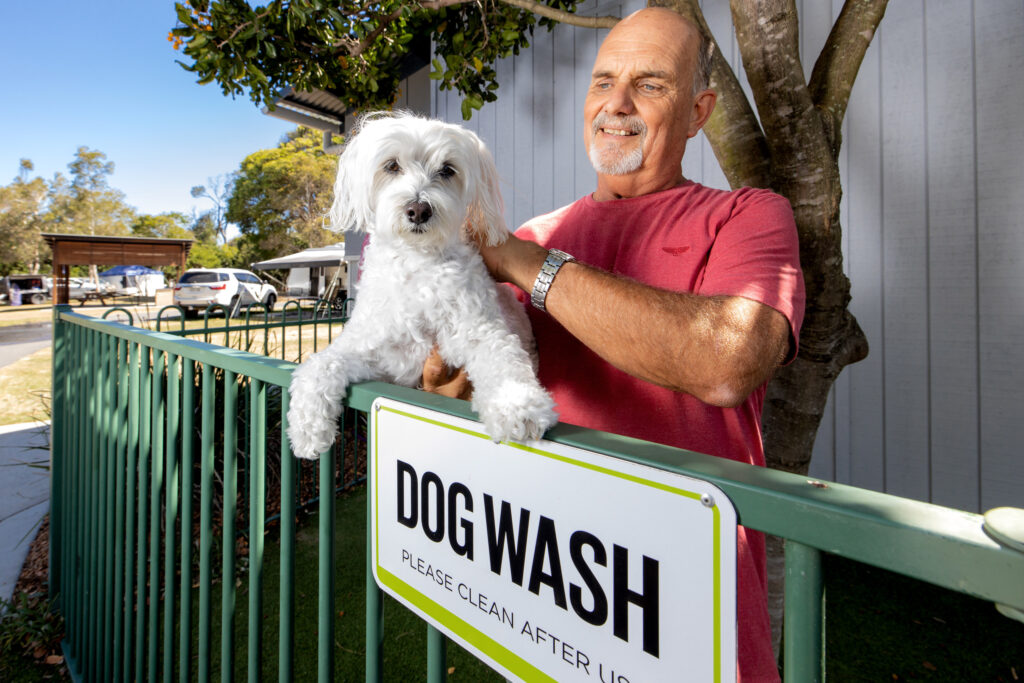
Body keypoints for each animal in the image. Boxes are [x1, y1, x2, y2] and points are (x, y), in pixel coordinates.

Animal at [288, 113, 557, 458]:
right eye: (391, 166)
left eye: (447, 170)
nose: (418, 210)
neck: (417, 266)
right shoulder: (375, 351)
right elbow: (321, 363)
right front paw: (307, 429)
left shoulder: (480, 329)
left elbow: (502, 359)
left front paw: (518, 405)